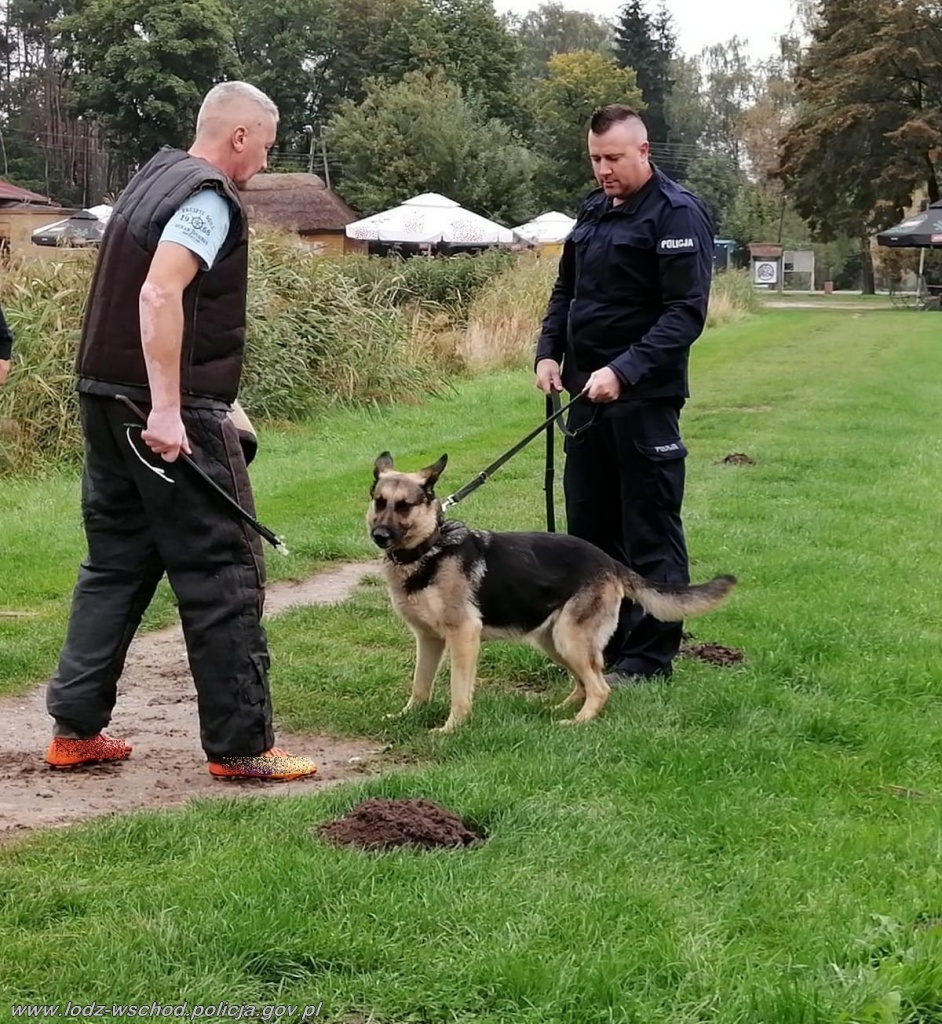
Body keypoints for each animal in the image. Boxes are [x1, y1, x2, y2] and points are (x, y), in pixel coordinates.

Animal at [368, 452, 737, 733]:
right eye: (380, 502)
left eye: (404, 506)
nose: (379, 536)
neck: (428, 549)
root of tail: (610, 562)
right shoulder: (429, 640)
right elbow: (420, 685)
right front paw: (407, 716)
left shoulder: (463, 637)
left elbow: (459, 692)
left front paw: (450, 730)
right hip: (555, 640)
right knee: (585, 682)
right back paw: (559, 710)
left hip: (569, 639)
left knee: (600, 687)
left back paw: (578, 722)